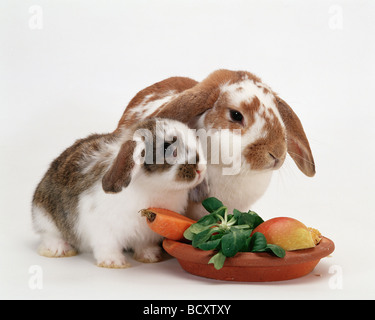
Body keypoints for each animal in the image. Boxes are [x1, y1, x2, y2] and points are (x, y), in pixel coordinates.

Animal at [32, 117, 207, 268]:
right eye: (167, 148)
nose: (200, 169)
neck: (153, 187)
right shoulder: (103, 229)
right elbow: (107, 246)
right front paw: (113, 262)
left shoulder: (146, 234)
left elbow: (144, 245)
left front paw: (150, 256)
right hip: (44, 217)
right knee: (49, 235)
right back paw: (59, 249)